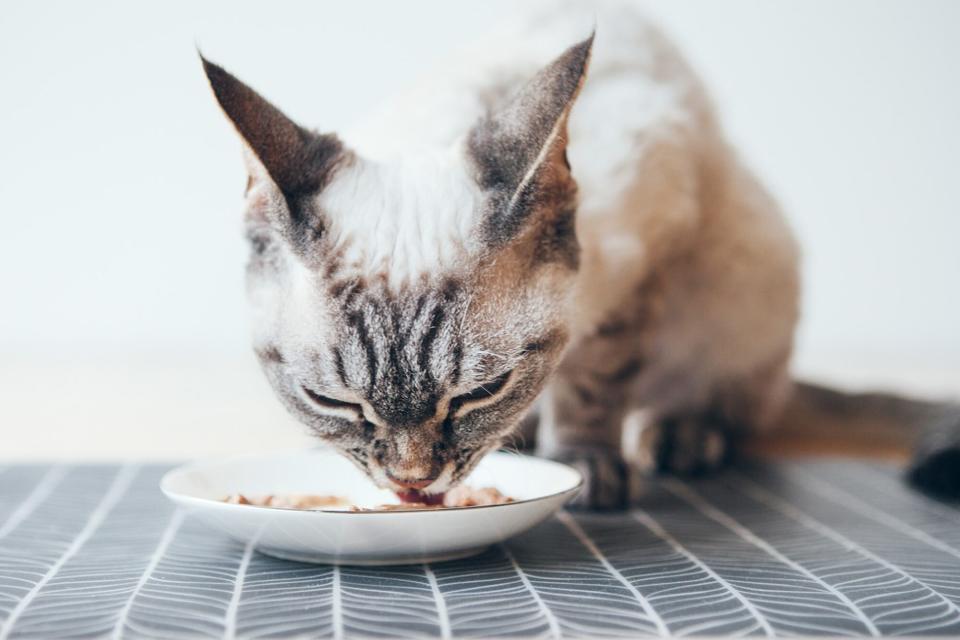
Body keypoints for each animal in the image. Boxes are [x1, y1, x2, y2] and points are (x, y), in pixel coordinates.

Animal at [199, 1, 956, 510]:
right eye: (331, 401)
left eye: (479, 393)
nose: (413, 485)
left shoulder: (644, 254)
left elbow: (594, 381)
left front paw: (586, 466)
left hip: (748, 273)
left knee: (737, 401)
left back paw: (679, 438)